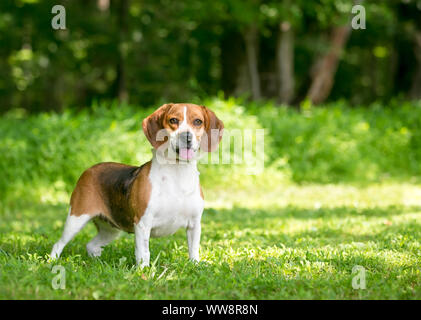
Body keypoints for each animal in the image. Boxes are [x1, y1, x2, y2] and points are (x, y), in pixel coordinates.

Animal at [50, 104, 223, 266]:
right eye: (173, 120)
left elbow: (193, 249)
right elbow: (143, 253)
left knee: (91, 245)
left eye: (198, 121)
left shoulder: (194, 224)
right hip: (76, 218)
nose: (186, 136)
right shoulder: (142, 224)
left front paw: (195, 266)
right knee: (58, 244)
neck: (177, 172)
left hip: (111, 229)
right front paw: (143, 271)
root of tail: (89, 169)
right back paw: (51, 262)